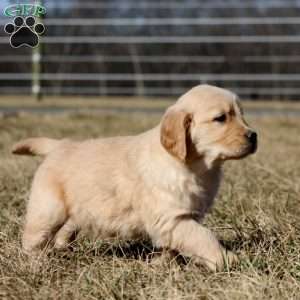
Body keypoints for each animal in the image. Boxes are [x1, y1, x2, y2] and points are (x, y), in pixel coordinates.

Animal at [11, 85, 255, 272]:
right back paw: (36, 262)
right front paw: (226, 259)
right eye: (220, 118)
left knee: (66, 229)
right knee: (33, 238)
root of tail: (59, 145)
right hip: (48, 209)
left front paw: (162, 263)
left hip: (78, 209)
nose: (254, 136)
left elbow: (175, 245)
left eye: (242, 114)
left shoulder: (181, 217)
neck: (195, 166)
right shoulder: (173, 218)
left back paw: (64, 248)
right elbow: (203, 237)